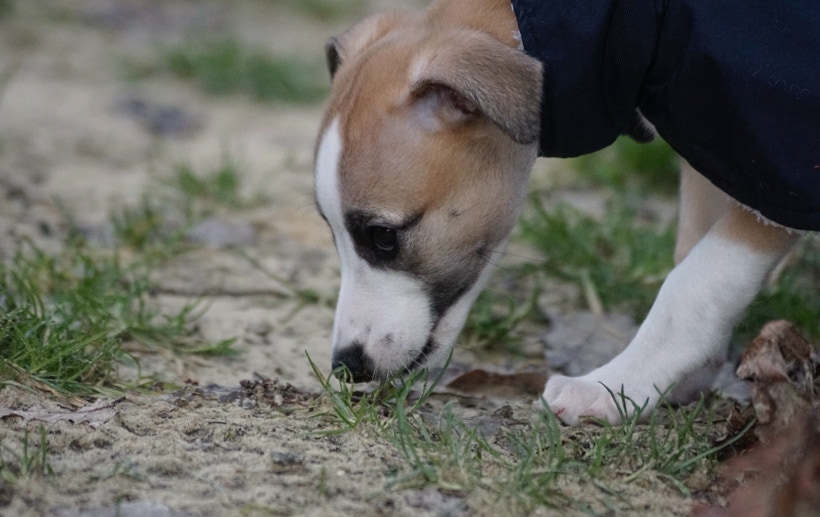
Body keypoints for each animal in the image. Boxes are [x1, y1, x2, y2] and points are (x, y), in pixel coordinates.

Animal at [313, 0, 818, 424]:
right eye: (331, 230)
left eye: (382, 235)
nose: (346, 365)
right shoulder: (719, 146)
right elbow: (692, 251)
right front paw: (676, 378)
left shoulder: (781, 159)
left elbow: (694, 285)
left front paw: (615, 386)